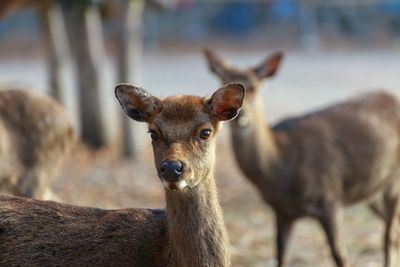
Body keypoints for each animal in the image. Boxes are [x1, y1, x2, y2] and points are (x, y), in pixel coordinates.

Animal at [205, 48, 400, 267]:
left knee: (389, 235)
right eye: (222, 79)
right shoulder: (282, 211)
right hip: (371, 189)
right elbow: (281, 257)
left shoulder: (329, 199)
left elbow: (340, 255)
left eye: (254, 86)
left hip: (393, 179)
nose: (242, 116)